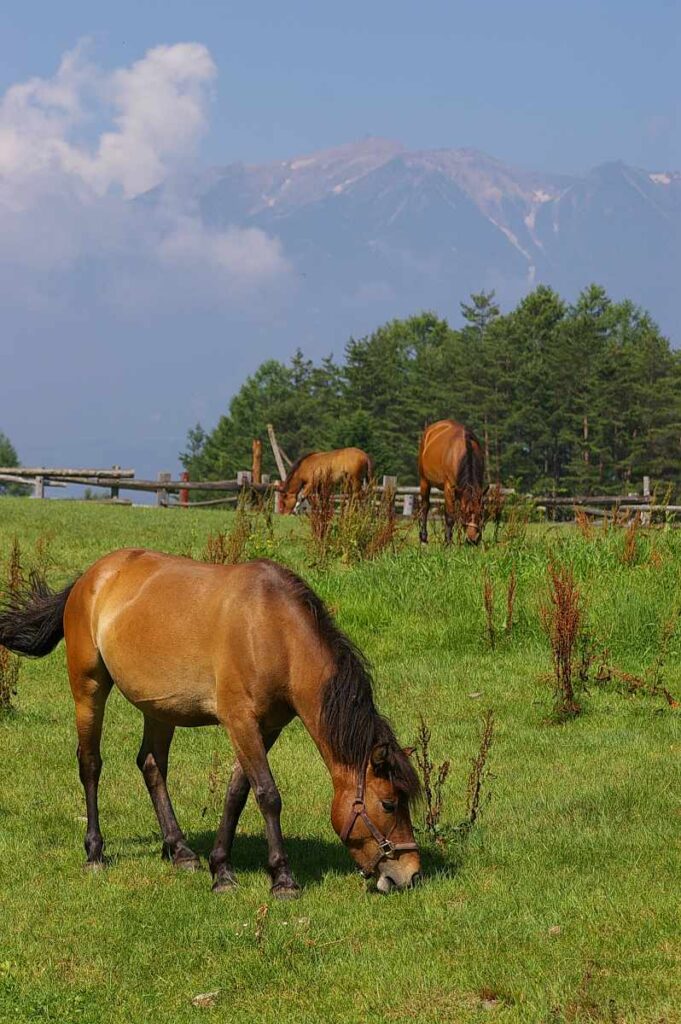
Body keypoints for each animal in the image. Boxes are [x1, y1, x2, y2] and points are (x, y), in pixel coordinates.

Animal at [0, 552, 419, 897]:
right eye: (389, 803)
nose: (411, 873)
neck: (273, 629)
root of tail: (92, 576)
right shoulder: (240, 721)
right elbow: (268, 795)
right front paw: (282, 879)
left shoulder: (265, 728)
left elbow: (237, 794)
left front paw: (221, 870)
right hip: (88, 688)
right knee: (90, 763)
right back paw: (95, 853)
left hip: (159, 709)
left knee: (151, 765)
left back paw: (180, 850)